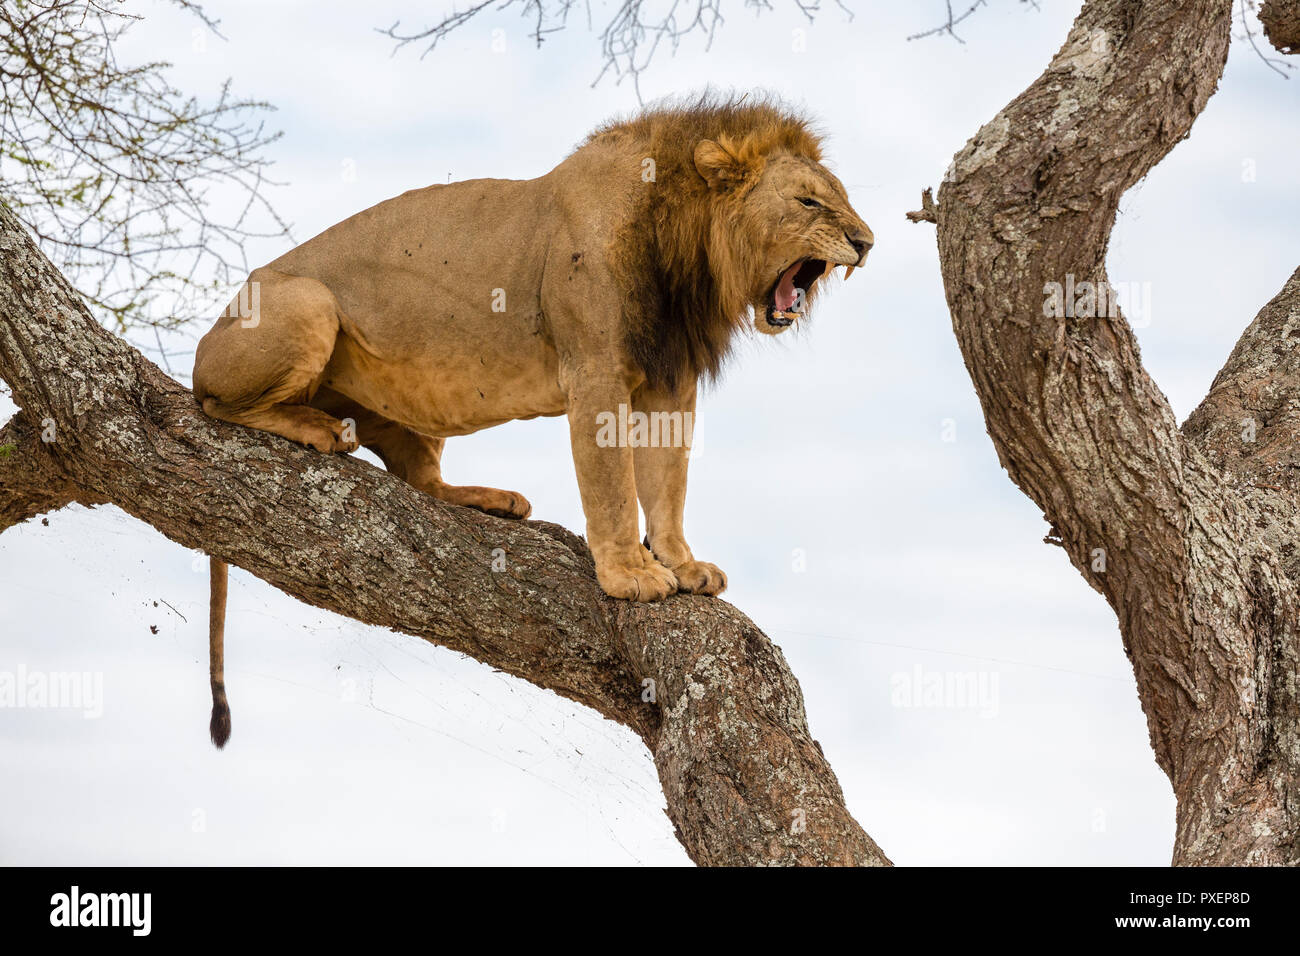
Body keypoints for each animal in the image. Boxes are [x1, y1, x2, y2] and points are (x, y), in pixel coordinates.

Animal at [191, 93, 873, 747]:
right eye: (809, 201)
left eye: (842, 198)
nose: (866, 243)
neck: (689, 253)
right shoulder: (595, 372)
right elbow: (613, 488)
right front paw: (631, 574)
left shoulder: (672, 380)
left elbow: (668, 483)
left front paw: (681, 563)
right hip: (306, 302)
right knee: (218, 405)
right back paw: (318, 428)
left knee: (421, 478)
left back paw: (486, 499)